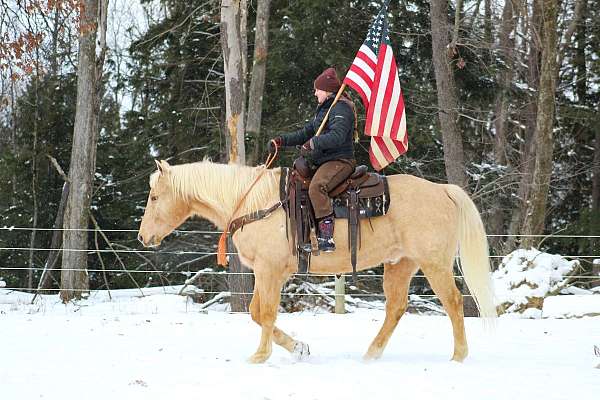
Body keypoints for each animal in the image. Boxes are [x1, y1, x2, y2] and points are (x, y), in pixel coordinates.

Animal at [139, 159, 496, 362]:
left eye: (155, 197)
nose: (143, 237)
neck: (254, 202)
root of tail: (443, 190)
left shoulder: (269, 270)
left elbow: (265, 313)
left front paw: (260, 355)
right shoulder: (266, 273)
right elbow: (255, 312)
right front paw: (299, 348)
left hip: (434, 264)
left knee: (453, 302)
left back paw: (459, 356)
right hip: (400, 263)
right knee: (396, 307)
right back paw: (371, 353)